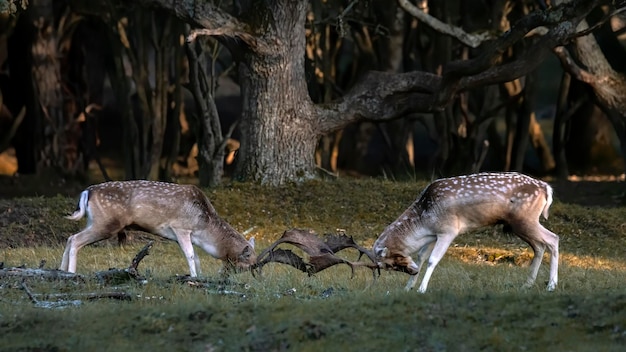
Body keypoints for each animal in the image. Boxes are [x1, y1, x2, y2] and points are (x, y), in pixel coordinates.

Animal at [58, 180, 254, 276]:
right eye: (248, 262)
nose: (256, 275)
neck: (203, 226)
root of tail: (87, 192)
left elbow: (197, 257)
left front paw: (200, 276)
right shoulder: (180, 227)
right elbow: (190, 255)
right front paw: (194, 277)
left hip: (93, 221)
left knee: (70, 237)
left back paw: (60, 271)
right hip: (106, 223)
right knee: (75, 239)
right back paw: (71, 273)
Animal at [372, 172, 560, 292]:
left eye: (389, 264)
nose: (413, 271)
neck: (424, 220)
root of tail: (546, 188)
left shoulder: (448, 229)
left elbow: (433, 259)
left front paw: (421, 289)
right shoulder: (434, 234)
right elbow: (421, 256)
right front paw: (408, 287)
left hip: (525, 220)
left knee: (553, 238)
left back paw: (551, 285)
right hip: (520, 225)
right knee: (539, 246)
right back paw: (527, 285)